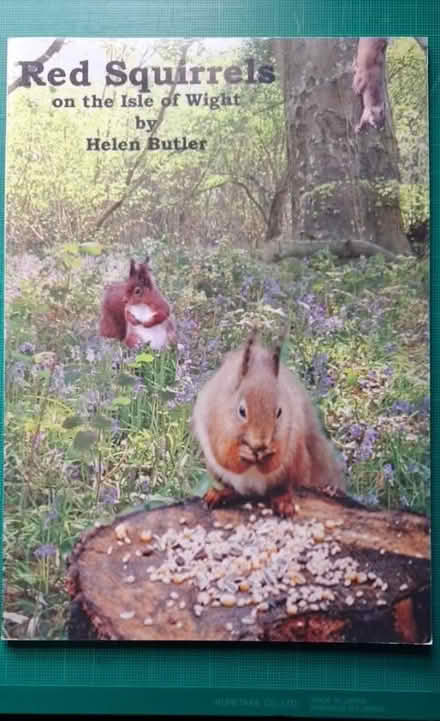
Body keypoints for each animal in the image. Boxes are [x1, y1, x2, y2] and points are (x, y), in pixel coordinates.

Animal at [192, 331, 345, 517]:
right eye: (241, 411)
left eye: (279, 412)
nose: (261, 444)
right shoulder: (215, 420)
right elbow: (224, 454)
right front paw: (242, 453)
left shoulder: (289, 427)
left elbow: (276, 460)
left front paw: (269, 453)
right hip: (216, 471)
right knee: (234, 489)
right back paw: (220, 494)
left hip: (294, 464)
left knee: (283, 488)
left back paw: (283, 502)